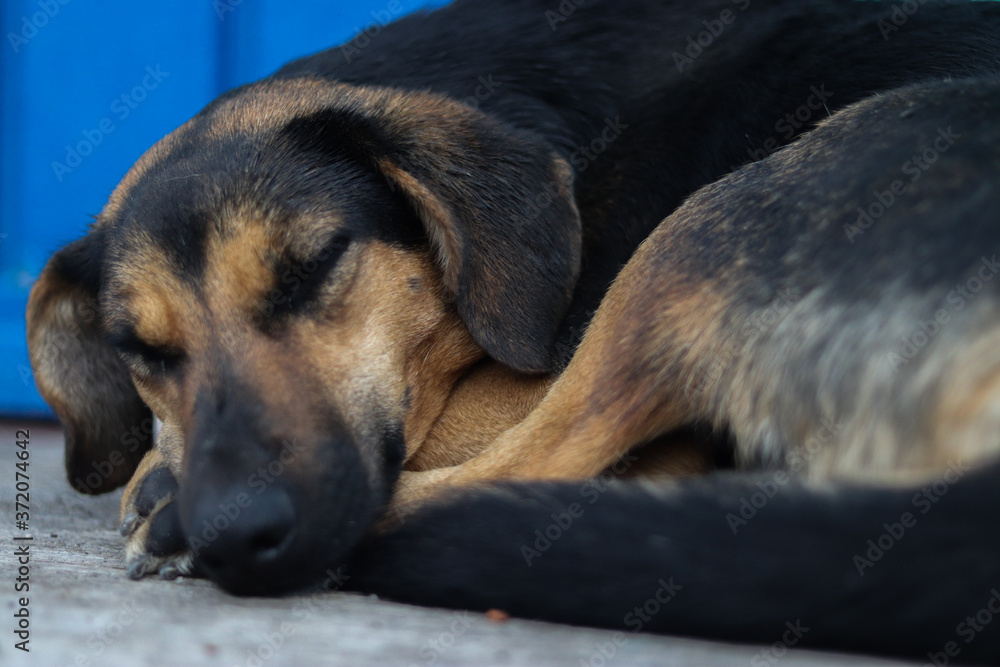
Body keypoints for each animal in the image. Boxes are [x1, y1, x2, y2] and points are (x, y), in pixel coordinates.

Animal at [21, 0, 1000, 656]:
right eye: (141, 350)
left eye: (316, 263)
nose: (231, 532)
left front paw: (157, 485)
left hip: (720, 222)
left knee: (538, 463)